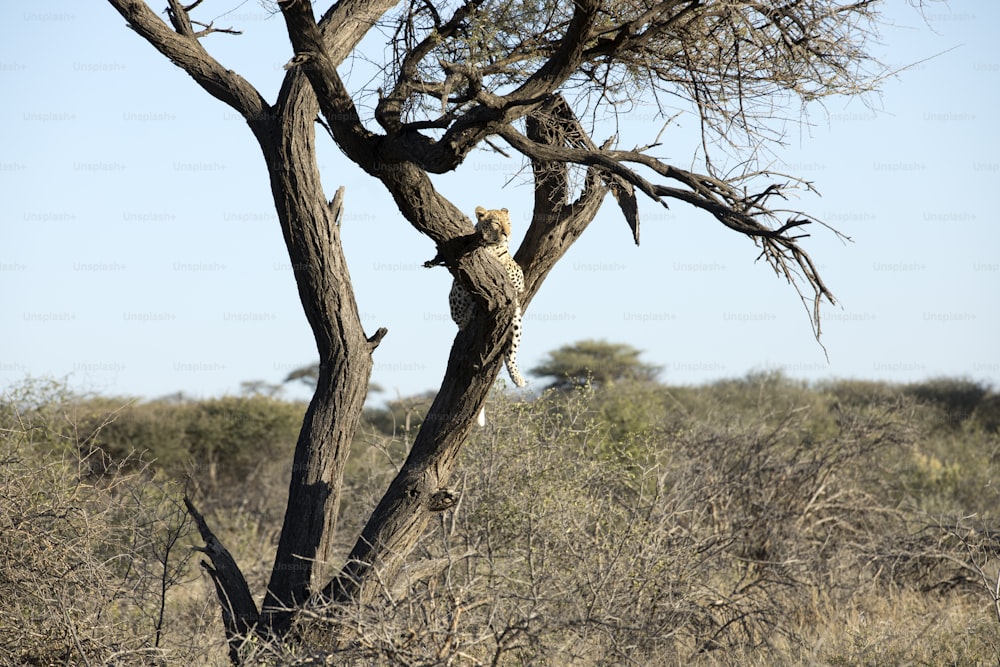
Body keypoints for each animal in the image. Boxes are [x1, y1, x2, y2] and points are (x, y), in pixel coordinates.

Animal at [450, 206, 528, 388]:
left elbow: (511, 271)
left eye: (508, 223)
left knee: (511, 352)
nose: (507, 234)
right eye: (496, 223)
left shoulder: (518, 279)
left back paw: (518, 378)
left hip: (516, 318)